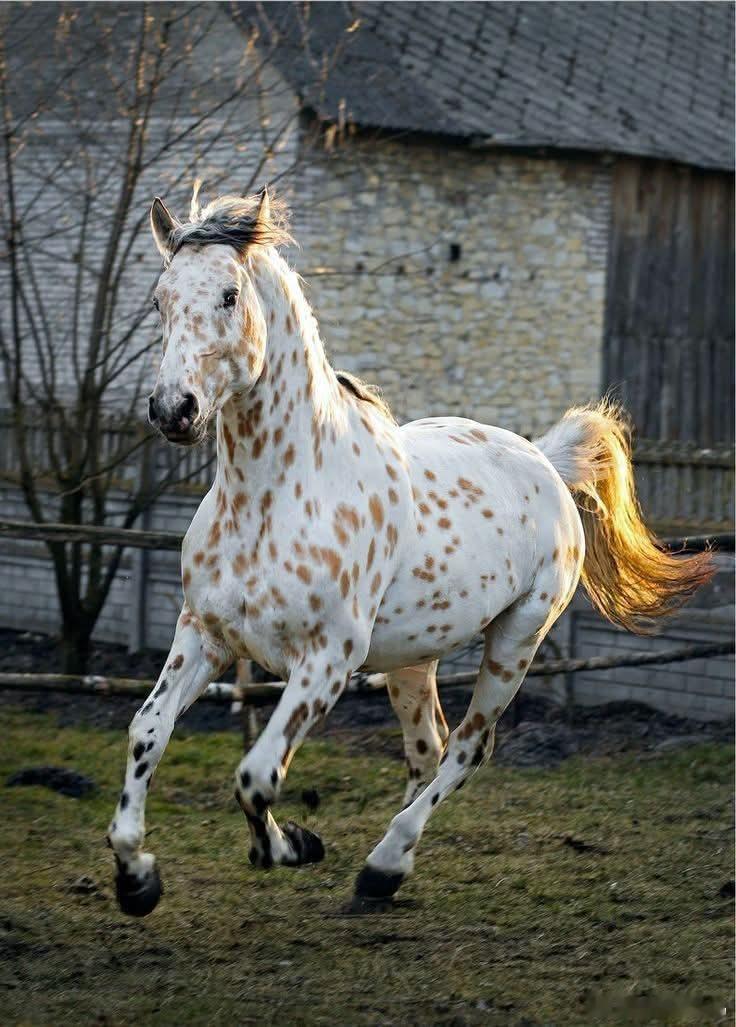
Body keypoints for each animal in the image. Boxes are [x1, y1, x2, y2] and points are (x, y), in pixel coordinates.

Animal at [107, 187, 713, 917]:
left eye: (228, 295)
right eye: (160, 298)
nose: (174, 409)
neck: (274, 496)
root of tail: (542, 458)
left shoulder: (326, 662)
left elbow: (257, 774)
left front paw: (292, 846)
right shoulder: (205, 634)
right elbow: (147, 730)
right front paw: (137, 878)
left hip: (516, 640)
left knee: (469, 747)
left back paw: (384, 864)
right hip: (411, 659)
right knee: (429, 747)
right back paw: (389, 869)